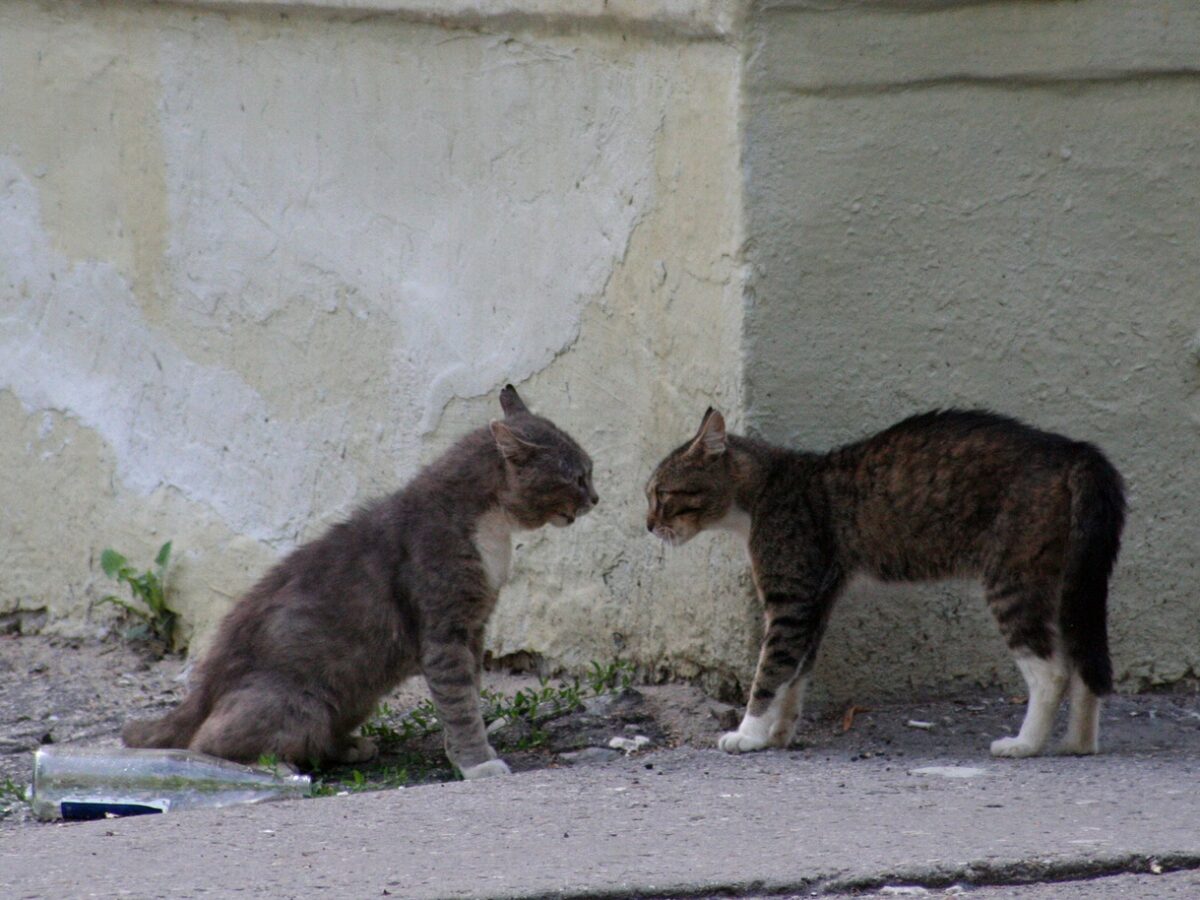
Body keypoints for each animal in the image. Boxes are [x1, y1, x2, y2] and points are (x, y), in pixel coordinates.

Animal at [124, 388, 597, 782]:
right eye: (577, 477)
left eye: (589, 472)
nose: (595, 498)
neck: (493, 533)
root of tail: (201, 692)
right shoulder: (444, 632)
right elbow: (460, 703)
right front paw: (477, 762)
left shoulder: (475, 627)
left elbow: (467, 697)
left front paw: (464, 751)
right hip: (301, 703)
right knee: (207, 743)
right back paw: (279, 765)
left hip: (357, 693)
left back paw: (347, 747)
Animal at [648, 410, 1123, 763]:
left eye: (662, 495)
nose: (648, 525)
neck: (764, 491)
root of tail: (1073, 450)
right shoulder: (817, 600)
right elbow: (796, 675)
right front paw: (779, 733)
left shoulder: (790, 602)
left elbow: (770, 671)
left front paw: (748, 733)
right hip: (1067, 583)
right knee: (1083, 660)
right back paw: (1078, 743)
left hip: (1014, 581)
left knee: (1052, 671)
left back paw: (1024, 744)